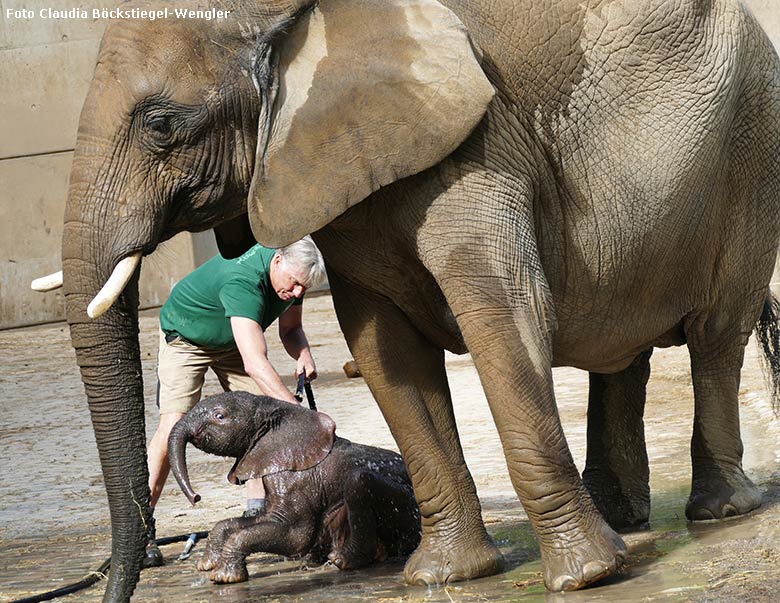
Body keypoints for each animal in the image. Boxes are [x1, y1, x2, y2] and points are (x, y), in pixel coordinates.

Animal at [169, 392, 420, 584]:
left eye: (219, 416)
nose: (196, 497)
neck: (274, 408)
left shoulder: (297, 481)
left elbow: (295, 535)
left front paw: (223, 578)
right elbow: (249, 521)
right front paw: (206, 565)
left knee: (359, 481)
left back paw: (342, 560)